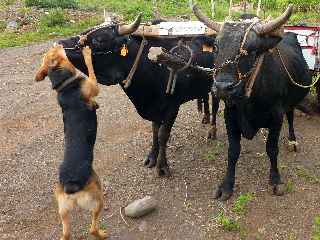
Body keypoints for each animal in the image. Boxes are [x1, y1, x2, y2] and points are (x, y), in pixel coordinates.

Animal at [34, 44, 107, 239]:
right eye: (53, 51)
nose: (56, 43)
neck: (64, 84)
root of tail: (71, 186)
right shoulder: (94, 86)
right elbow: (90, 68)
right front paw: (87, 53)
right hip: (97, 198)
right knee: (92, 228)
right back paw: (102, 233)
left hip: (63, 209)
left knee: (66, 234)